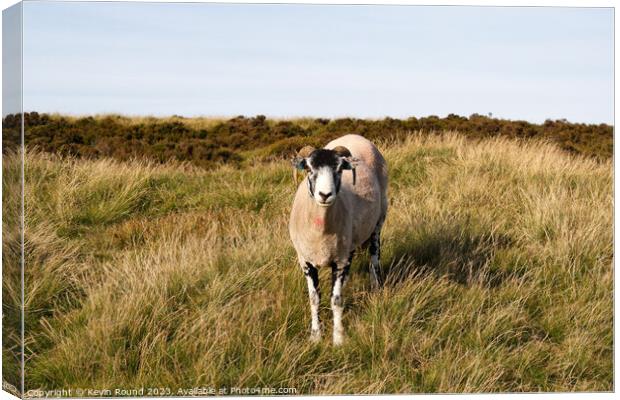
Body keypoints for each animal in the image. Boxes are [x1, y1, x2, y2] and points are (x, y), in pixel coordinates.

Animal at [290, 135, 388, 346]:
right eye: (309, 169)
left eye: (339, 169)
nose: (325, 195)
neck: (321, 229)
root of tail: (354, 135)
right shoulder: (305, 261)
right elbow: (314, 299)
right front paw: (315, 336)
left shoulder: (342, 260)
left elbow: (336, 300)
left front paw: (338, 339)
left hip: (379, 218)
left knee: (374, 256)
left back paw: (376, 287)